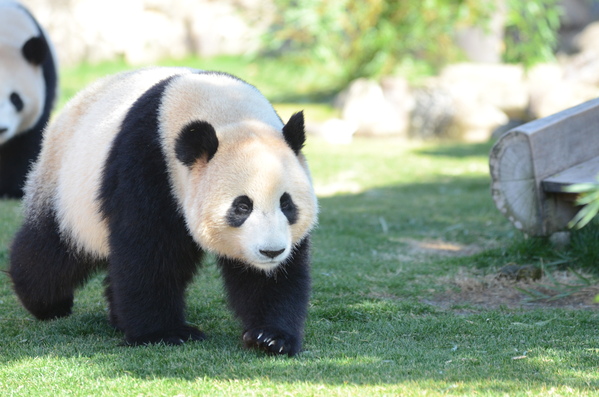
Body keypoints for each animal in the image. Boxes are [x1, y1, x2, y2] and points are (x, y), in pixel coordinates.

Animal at [8, 66, 318, 354]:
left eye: (287, 204)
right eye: (242, 206)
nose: (271, 251)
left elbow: (270, 278)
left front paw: (271, 337)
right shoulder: (148, 161)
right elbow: (148, 250)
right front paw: (165, 333)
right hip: (67, 186)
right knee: (55, 249)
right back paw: (45, 302)